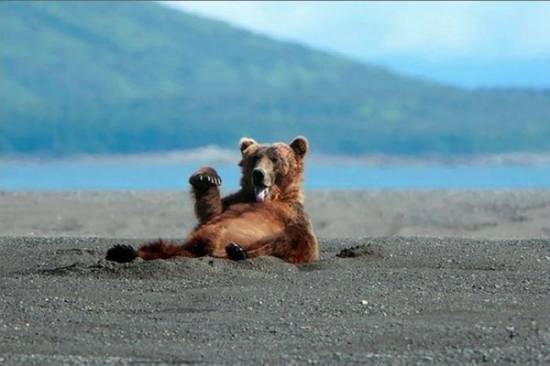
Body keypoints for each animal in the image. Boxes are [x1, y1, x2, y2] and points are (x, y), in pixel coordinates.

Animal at [106, 136, 320, 264]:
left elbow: (302, 243)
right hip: (186, 246)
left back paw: (237, 251)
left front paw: (239, 251)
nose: (258, 174)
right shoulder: (232, 203)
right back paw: (123, 251)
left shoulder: (292, 214)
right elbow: (210, 213)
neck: (267, 199)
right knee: (160, 248)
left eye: (274, 159)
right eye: (255, 158)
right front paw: (205, 178)